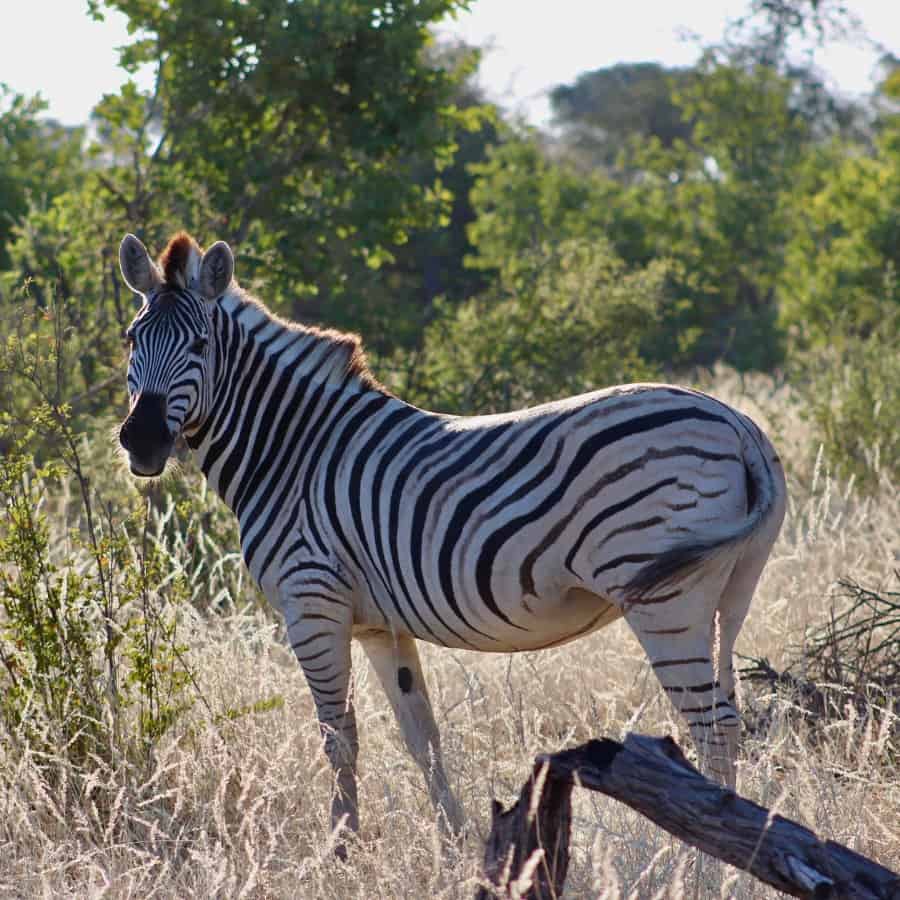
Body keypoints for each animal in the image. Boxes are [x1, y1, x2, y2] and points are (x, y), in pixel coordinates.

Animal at [118, 231, 787, 841]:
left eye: (201, 344)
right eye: (130, 340)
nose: (141, 440)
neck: (291, 452)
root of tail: (738, 424)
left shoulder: (310, 601)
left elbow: (339, 739)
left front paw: (343, 851)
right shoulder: (378, 624)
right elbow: (422, 737)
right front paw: (455, 846)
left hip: (666, 599)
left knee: (711, 731)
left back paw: (701, 867)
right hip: (730, 591)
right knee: (731, 721)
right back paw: (736, 856)